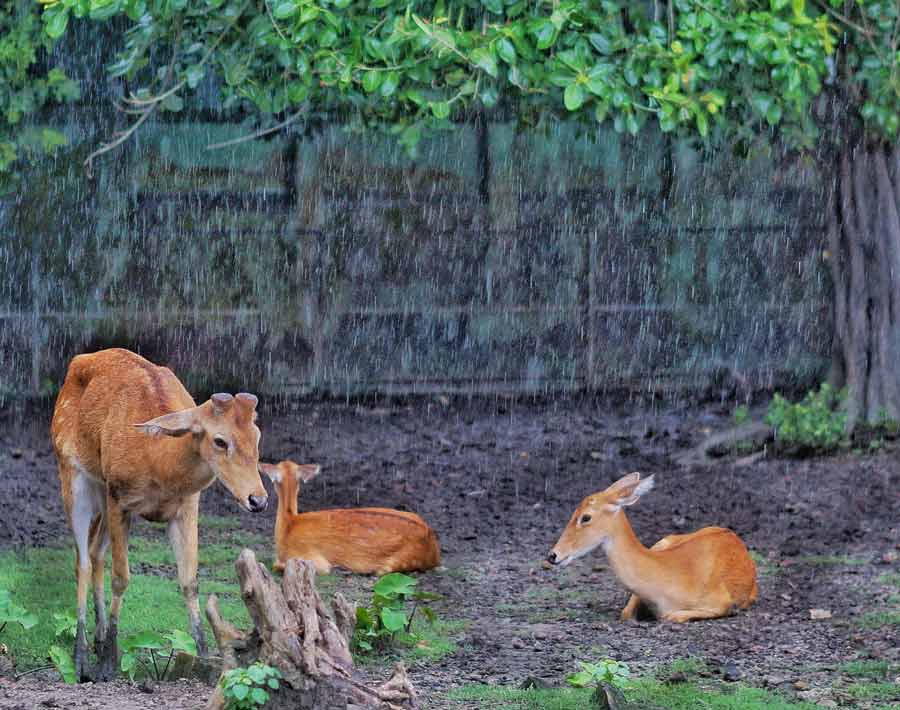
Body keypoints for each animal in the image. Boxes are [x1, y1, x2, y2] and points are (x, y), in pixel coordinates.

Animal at [50, 348, 269, 681]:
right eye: (220, 440)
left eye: (256, 436)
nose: (258, 499)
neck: (158, 464)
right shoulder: (120, 497)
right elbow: (121, 578)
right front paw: (107, 665)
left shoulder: (187, 506)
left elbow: (189, 580)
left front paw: (204, 658)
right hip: (73, 476)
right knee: (82, 562)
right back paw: (82, 659)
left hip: (102, 492)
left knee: (95, 552)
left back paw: (99, 640)